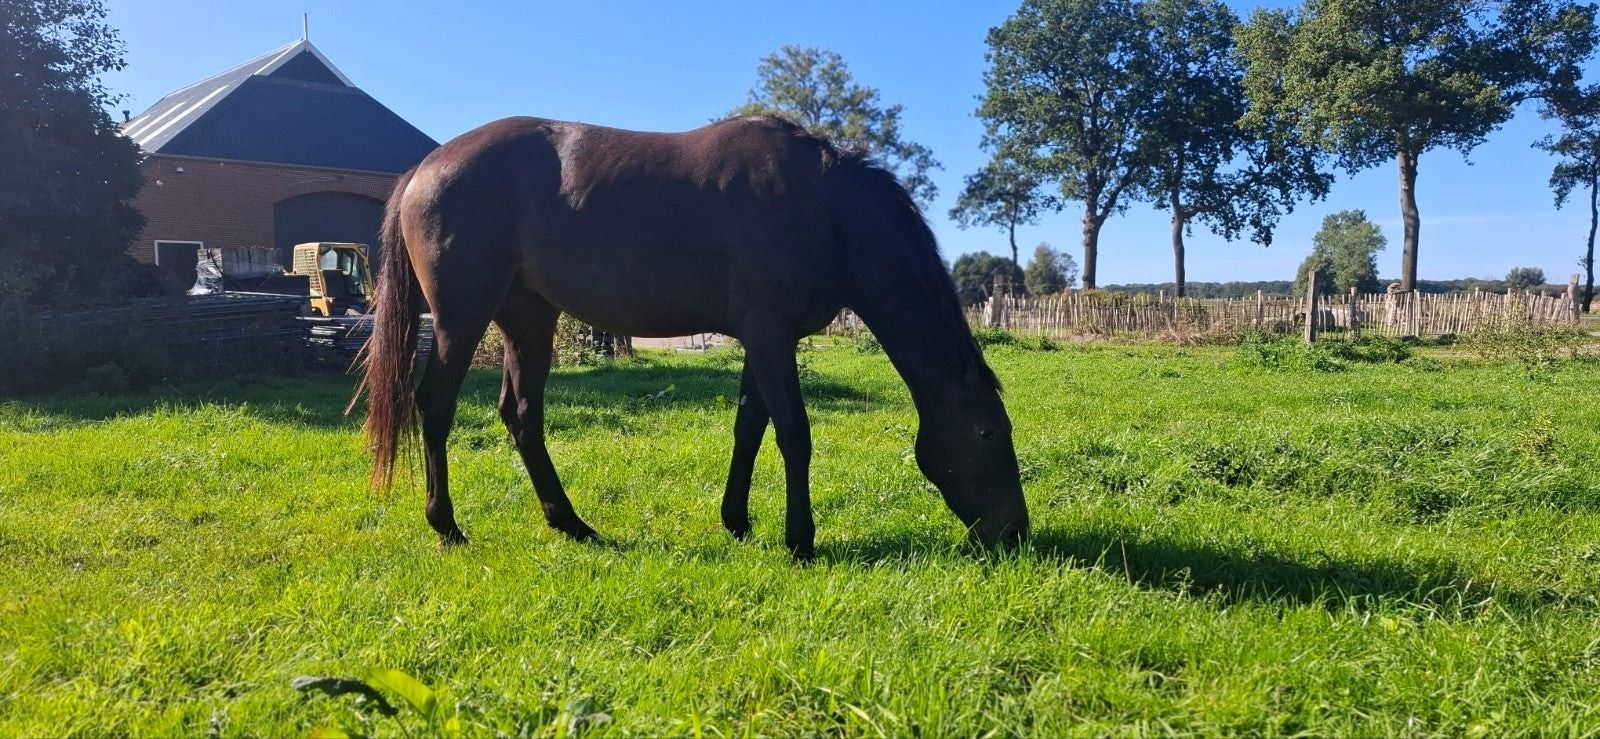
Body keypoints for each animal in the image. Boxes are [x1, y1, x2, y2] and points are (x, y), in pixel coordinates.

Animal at [358, 115, 1028, 559]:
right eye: (989, 433)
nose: (1015, 532)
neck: (826, 210)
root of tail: (424, 168)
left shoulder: (764, 339)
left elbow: (750, 426)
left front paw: (737, 521)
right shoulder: (770, 336)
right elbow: (794, 434)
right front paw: (800, 540)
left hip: (529, 318)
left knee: (521, 413)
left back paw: (572, 524)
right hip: (461, 317)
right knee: (435, 405)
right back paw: (447, 525)